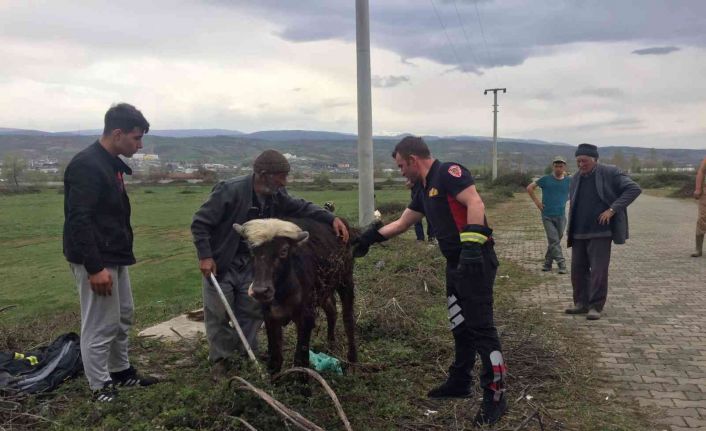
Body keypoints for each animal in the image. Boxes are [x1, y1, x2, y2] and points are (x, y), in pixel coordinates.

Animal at [233, 217, 357, 373]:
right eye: (252, 251)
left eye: (284, 250)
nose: (260, 291)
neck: (282, 293)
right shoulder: (270, 318)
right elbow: (275, 359)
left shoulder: (306, 319)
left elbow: (300, 361)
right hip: (323, 291)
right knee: (332, 310)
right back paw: (330, 345)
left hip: (346, 281)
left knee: (348, 318)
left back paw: (352, 360)